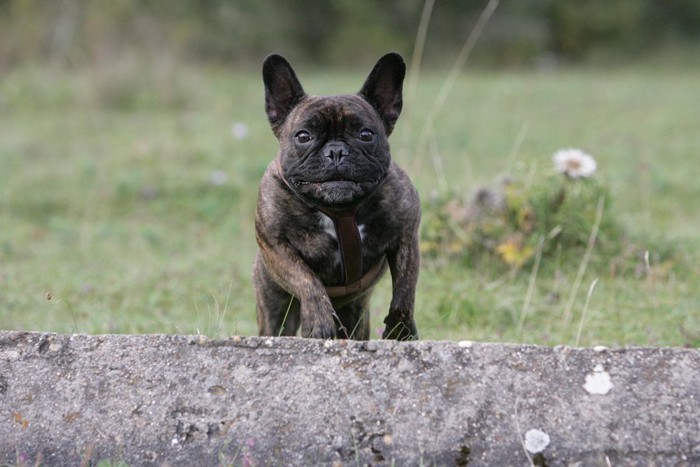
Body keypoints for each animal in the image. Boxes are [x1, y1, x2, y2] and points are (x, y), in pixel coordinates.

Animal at [253, 53, 422, 342]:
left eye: (366, 134)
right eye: (303, 136)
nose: (336, 151)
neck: (340, 211)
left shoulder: (406, 238)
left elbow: (404, 292)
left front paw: (400, 330)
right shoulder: (276, 247)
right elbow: (307, 280)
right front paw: (319, 321)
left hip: (357, 316)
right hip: (274, 308)